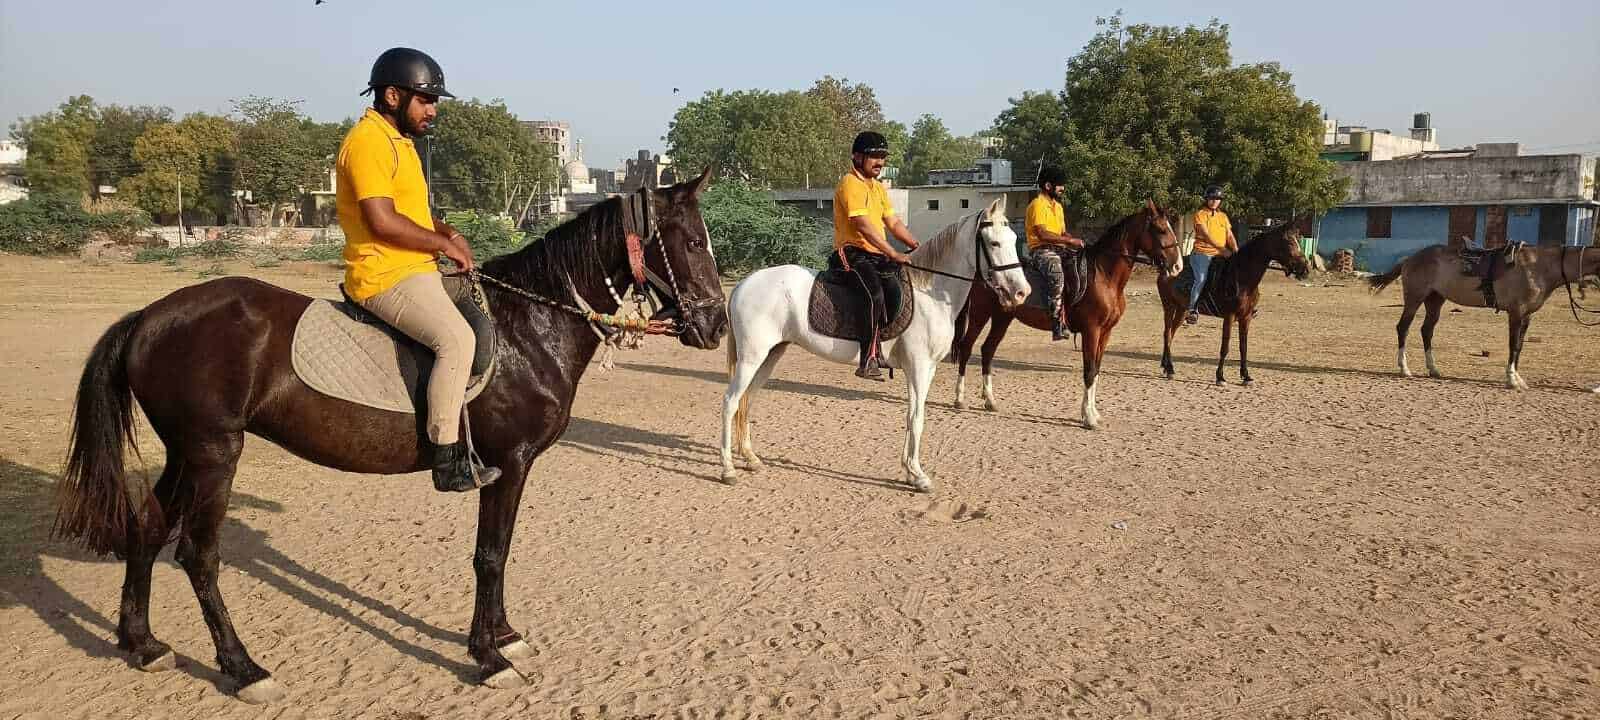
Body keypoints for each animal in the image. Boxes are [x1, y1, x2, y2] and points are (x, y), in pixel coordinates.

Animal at [49, 171, 727, 703]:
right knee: (197, 554)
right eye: (693, 241)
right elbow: (489, 555)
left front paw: (505, 637)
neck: (528, 325)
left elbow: (502, 551)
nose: (717, 325)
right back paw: (243, 669)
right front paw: (488, 657)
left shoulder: (515, 467)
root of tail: (150, 316)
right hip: (215, 453)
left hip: (185, 453)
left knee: (146, 527)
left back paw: (142, 643)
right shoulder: (507, 464)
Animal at [719, 197, 1031, 493]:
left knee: (747, 400)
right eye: (994, 243)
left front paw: (910, 472)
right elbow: (917, 417)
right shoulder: (919, 367)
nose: (1021, 292)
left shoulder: (926, 369)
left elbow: (911, 416)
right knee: (731, 401)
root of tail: (744, 283)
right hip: (752, 357)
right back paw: (728, 469)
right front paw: (919, 476)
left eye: (1014, 239)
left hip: (770, 355)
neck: (930, 292)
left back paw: (750, 458)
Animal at [952, 201, 1183, 429]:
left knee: (987, 350)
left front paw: (1092, 413)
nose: (1178, 265)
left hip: (1002, 318)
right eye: (1161, 230)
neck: (1104, 276)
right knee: (966, 348)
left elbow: (1096, 370)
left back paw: (990, 401)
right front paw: (1088, 418)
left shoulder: (1105, 333)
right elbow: (1089, 371)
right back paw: (959, 399)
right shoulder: (1091, 331)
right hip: (980, 314)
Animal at [1155, 222, 1310, 385]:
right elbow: (1225, 347)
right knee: (1167, 333)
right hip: (1168, 306)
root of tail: (1166, 269)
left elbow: (1243, 347)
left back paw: (1166, 366)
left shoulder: (1246, 317)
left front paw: (1246, 376)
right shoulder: (1229, 316)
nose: (1305, 268)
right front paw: (1220, 377)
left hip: (1181, 309)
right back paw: (1170, 368)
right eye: (1289, 243)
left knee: (1171, 333)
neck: (1242, 277)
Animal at [1369, 242, 1600, 389]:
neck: (1539, 267)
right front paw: (1511, 380)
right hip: (1414, 299)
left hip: (1435, 300)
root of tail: (1410, 259)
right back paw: (1404, 369)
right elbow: (1513, 346)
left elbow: (1519, 347)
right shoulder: (1516, 313)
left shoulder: (1527, 316)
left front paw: (1518, 378)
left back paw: (1433, 369)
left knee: (1426, 331)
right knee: (1403, 328)